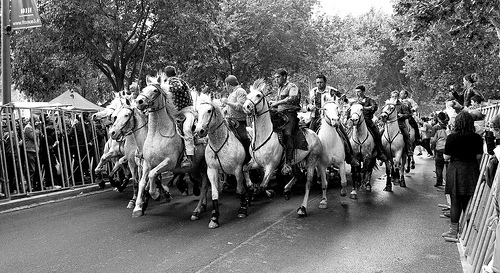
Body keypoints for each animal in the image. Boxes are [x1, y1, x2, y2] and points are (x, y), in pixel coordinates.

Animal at [243, 78, 324, 217]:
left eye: (258, 95)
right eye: (248, 95)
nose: (246, 107)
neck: (264, 136)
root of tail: (314, 134)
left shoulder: (271, 165)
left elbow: (263, 185)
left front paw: (265, 192)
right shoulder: (256, 162)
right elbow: (244, 169)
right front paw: (251, 186)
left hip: (312, 159)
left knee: (308, 183)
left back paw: (302, 208)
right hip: (294, 161)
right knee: (297, 174)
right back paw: (286, 190)